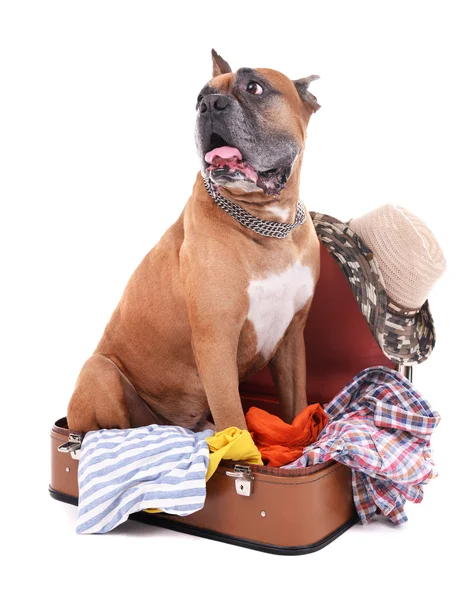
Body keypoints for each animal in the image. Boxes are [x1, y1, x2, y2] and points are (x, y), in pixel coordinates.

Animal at [67, 51, 320, 434]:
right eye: (199, 98)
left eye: (255, 87)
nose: (210, 105)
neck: (269, 226)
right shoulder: (216, 343)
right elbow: (234, 419)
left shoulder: (292, 341)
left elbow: (297, 407)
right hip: (100, 371)